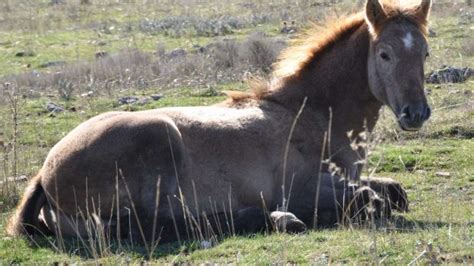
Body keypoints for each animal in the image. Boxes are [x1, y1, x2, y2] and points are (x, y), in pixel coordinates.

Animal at [7, 0, 434, 245]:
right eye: (384, 54)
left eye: (426, 52)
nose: (416, 113)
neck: (310, 114)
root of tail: (45, 174)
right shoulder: (303, 188)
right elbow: (371, 200)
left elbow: (393, 191)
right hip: (159, 139)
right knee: (151, 227)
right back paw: (271, 217)